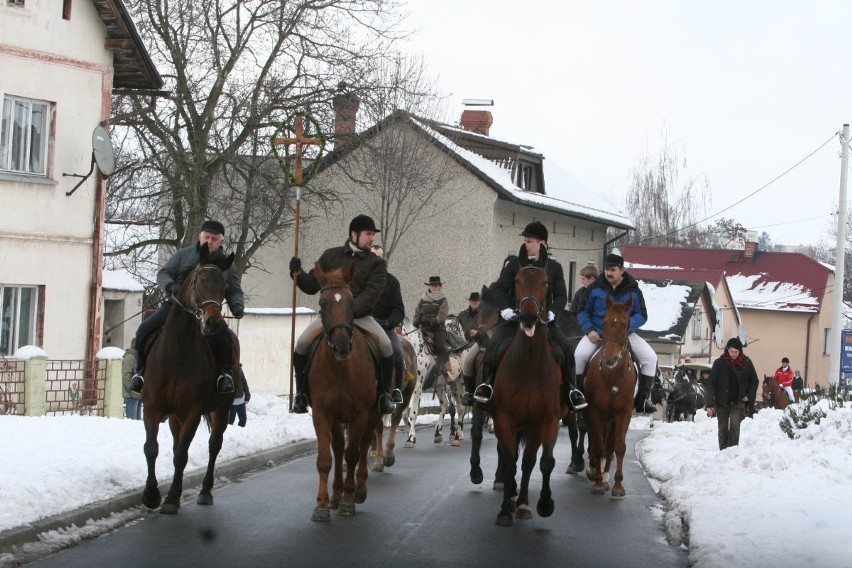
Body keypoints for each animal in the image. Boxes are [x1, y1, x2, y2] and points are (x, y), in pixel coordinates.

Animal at [141, 244, 238, 516]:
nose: (213, 322)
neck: (177, 349)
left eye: (224, 287)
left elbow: (182, 455)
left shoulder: (193, 411)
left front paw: (172, 498)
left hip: (221, 409)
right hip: (175, 416)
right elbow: (152, 448)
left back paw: (205, 491)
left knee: (214, 445)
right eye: (199, 280)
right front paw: (151, 496)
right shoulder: (152, 407)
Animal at [308, 264, 382, 520]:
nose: (342, 347)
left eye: (351, 302)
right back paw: (336, 494)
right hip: (338, 418)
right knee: (339, 449)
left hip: (373, 413)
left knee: (363, 445)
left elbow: (353, 454)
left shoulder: (360, 414)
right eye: (322, 304)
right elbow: (325, 458)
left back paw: (358, 490)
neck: (340, 368)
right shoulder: (322, 413)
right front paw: (322, 504)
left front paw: (349, 501)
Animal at [404, 316, 476, 448]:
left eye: (454, 324)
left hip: (460, 384)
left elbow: (413, 413)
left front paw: (410, 439)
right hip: (440, 386)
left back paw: (457, 436)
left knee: (461, 408)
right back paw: (440, 433)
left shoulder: (417, 387)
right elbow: (404, 413)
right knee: (446, 405)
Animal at [486, 248, 564, 528]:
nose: (528, 316)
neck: (529, 363)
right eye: (517, 281)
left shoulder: (546, 421)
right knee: (508, 457)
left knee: (528, 461)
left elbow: (543, 462)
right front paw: (504, 510)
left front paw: (541, 504)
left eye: (546, 283)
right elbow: (510, 462)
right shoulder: (505, 419)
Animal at [584, 298, 640, 496]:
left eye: (625, 324)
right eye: (604, 323)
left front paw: (617, 485)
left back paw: (607, 474)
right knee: (597, 442)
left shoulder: (624, 414)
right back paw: (595, 470)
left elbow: (619, 447)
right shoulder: (594, 412)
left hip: (612, 419)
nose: (610, 359)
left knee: (609, 446)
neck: (613, 376)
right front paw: (598, 481)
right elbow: (598, 446)